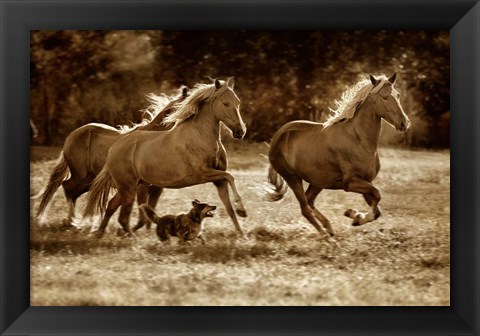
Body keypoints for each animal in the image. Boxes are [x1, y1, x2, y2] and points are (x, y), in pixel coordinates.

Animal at [83, 77, 248, 238]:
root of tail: (114, 147)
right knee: (123, 217)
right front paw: (242, 210)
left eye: (238, 102)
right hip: (128, 188)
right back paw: (131, 238)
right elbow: (230, 176)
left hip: (131, 186)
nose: (240, 132)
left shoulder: (218, 181)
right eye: (225, 103)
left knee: (112, 206)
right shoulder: (203, 174)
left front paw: (242, 233)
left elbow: (229, 207)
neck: (200, 136)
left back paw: (101, 233)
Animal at [264, 73, 410, 239]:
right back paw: (326, 236)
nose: (404, 123)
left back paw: (329, 228)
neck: (360, 139)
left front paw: (355, 217)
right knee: (305, 208)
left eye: (397, 95)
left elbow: (377, 207)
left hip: (318, 181)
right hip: (292, 178)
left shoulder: (367, 180)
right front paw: (354, 215)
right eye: (385, 97)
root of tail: (278, 136)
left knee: (309, 201)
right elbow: (377, 195)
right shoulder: (350, 182)